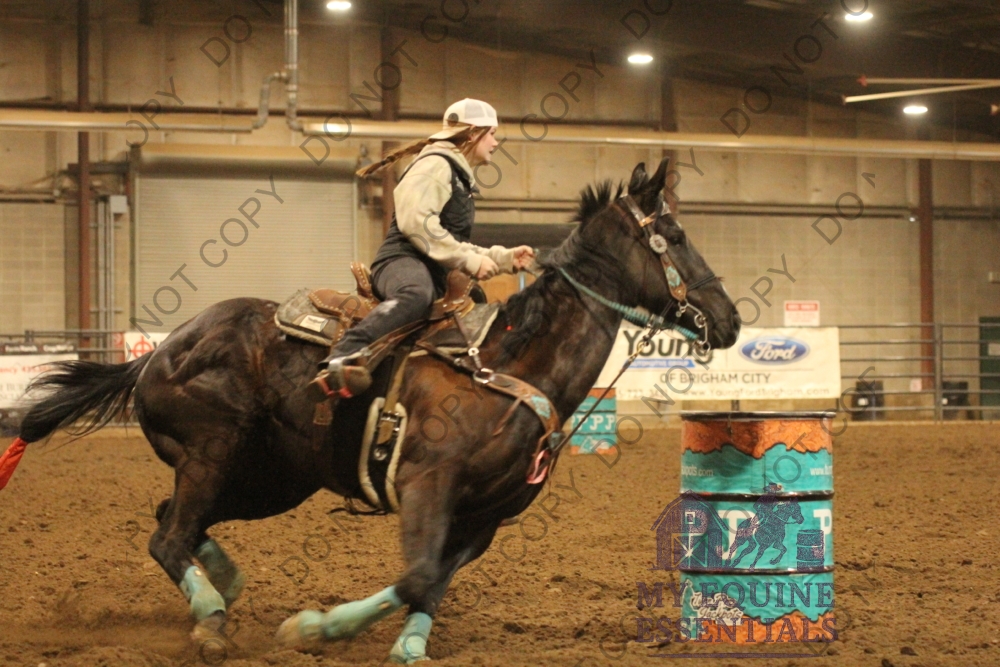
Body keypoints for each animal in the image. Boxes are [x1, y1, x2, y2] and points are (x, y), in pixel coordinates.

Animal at [5, 158, 740, 663]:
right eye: (674, 233)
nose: (730, 320)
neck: (505, 366)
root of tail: (159, 352)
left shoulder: (486, 517)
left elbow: (428, 584)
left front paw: (398, 642)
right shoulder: (425, 483)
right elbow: (415, 577)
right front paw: (315, 627)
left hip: (273, 477)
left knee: (176, 523)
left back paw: (225, 585)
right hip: (213, 451)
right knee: (168, 534)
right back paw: (211, 618)